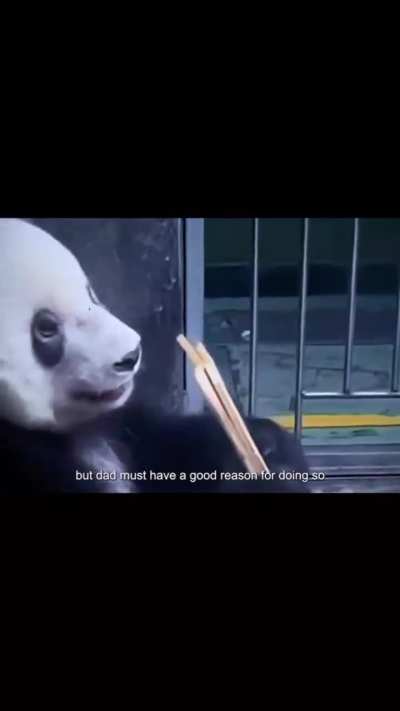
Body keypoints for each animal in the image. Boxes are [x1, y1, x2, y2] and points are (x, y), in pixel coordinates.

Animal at [0, 219, 309, 494]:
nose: (130, 355)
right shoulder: (26, 464)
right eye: (46, 329)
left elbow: (168, 450)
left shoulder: (122, 424)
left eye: (90, 294)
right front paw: (267, 484)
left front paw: (270, 446)